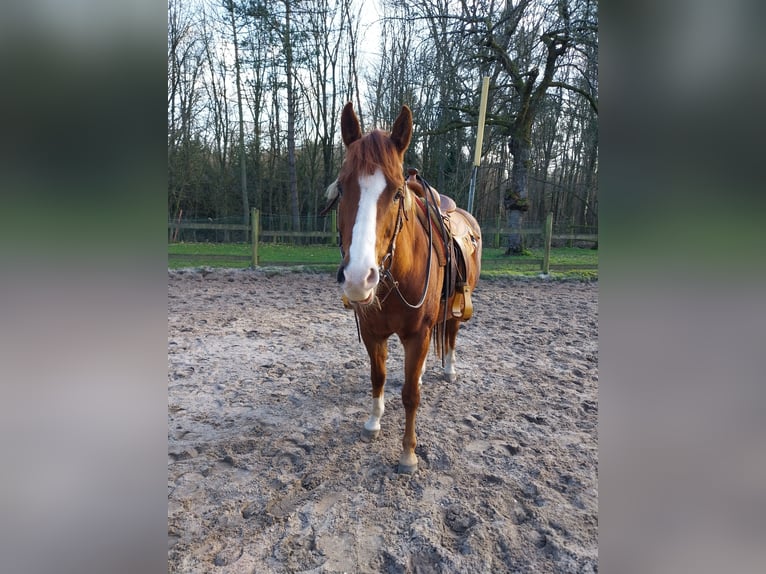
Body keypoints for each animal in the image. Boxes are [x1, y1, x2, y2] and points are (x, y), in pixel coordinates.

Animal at [325, 102, 482, 473]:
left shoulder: (419, 333)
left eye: (397, 193)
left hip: (454, 309)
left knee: (451, 333)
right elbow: (378, 377)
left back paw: (449, 369)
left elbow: (410, 395)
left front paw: (408, 453)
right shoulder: (373, 333)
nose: (358, 278)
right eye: (342, 188)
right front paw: (373, 423)